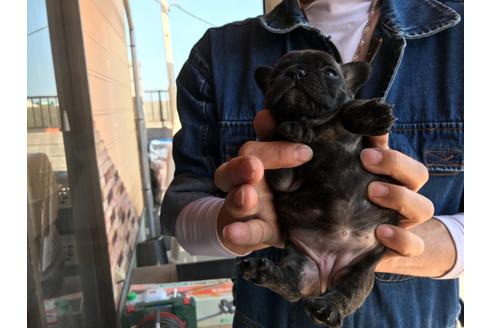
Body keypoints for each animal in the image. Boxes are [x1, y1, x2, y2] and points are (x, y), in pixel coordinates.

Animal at [238, 49, 400, 328]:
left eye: (331, 72)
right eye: (277, 72)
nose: (295, 72)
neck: (317, 126)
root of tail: (327, 273)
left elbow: (347, 108)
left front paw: (369, 116)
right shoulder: (284, 177)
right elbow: (278, 136)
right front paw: (291, 128)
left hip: (361, 273)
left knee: (347, 292)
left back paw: (327, 307)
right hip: (303, 264)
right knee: (293, 285)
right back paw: (263, 270)